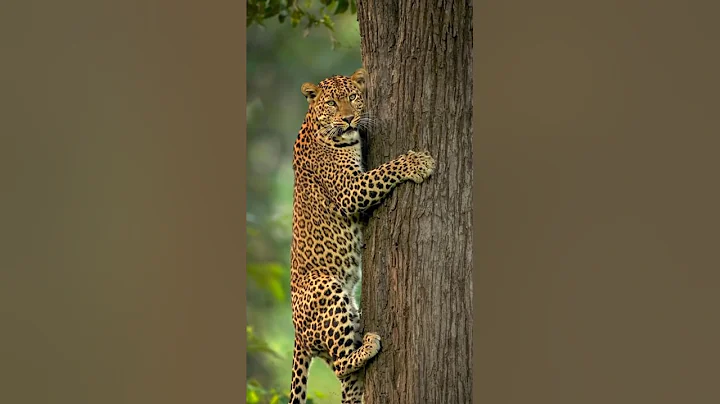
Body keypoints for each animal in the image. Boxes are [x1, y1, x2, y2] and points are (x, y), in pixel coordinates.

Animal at [288, 68, 436, 404]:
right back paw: (369, 345)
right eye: (332, 102)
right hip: (324, 285)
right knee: (342, 363)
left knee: (346, 378)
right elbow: (383, 172)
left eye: (354, 97)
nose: (348, 119)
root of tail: (297, 334)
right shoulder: (349, 190)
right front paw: (418, 162)